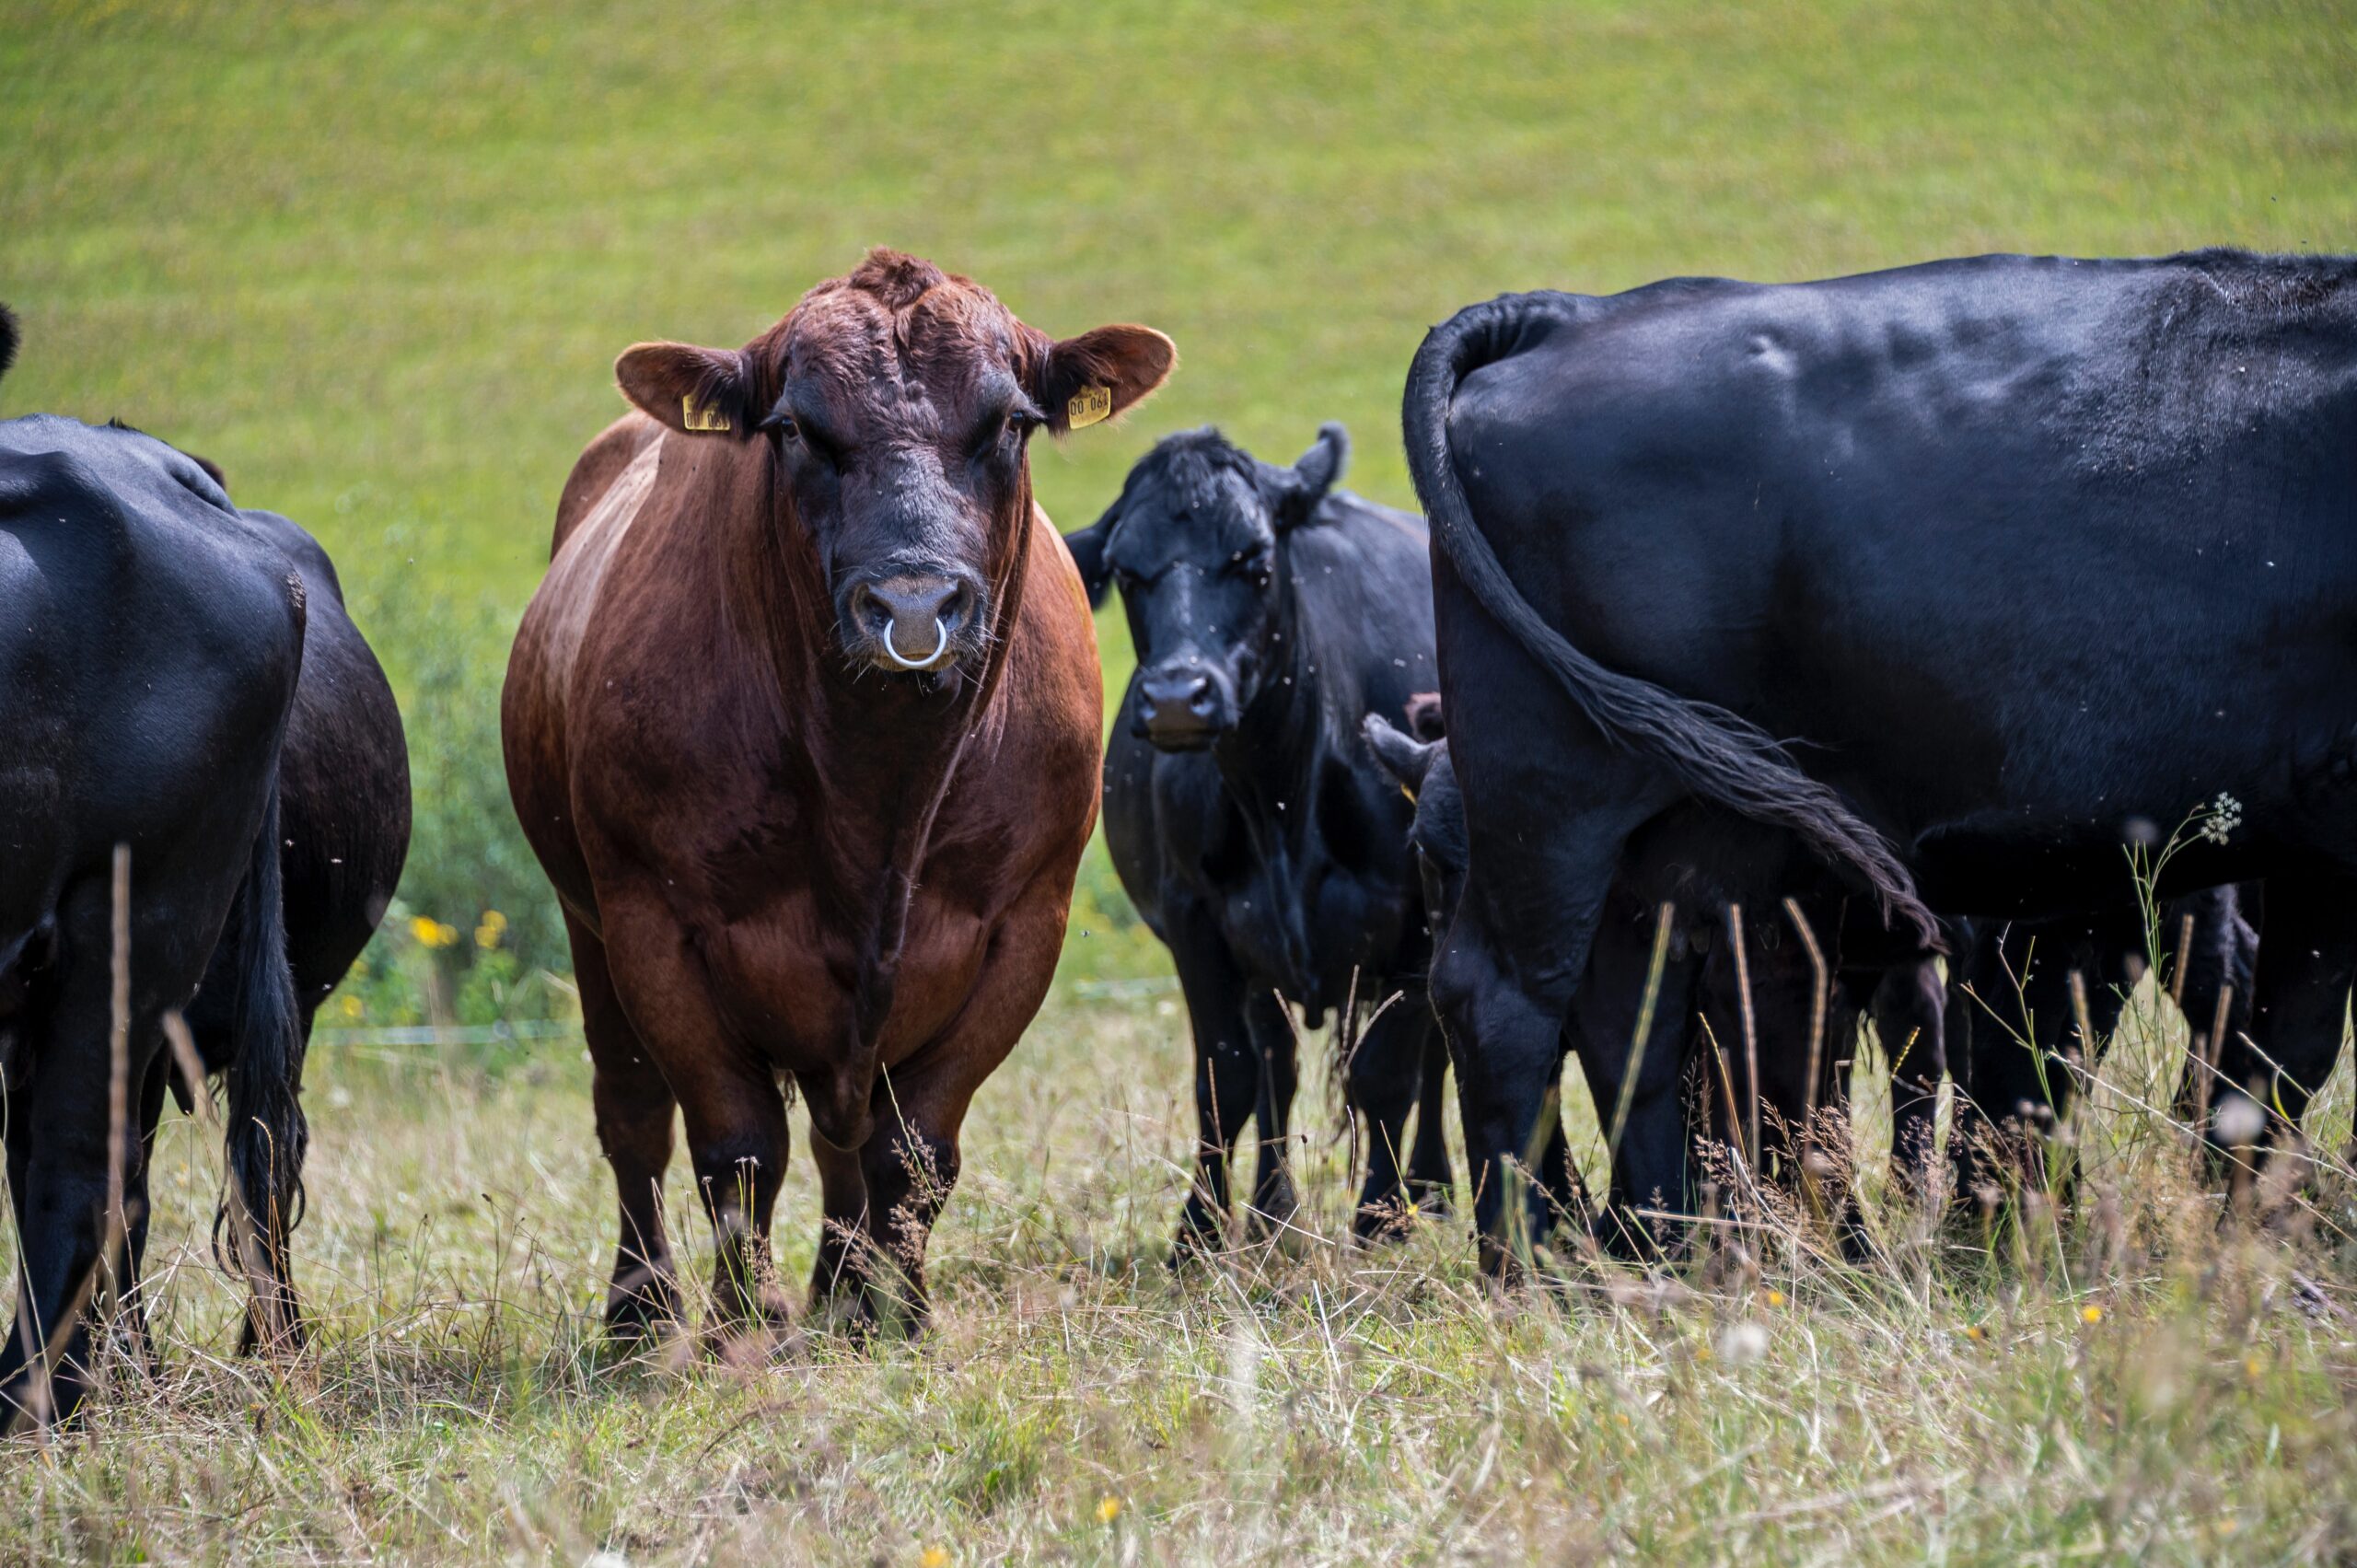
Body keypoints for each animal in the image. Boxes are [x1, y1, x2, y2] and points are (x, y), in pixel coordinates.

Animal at [504, 250, 1168, 1330]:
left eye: (1010, 423)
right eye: (795, 430)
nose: (913, 603)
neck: (879, 788)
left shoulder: (1024, 923)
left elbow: (914, 1149)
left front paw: (901, 1312)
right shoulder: (655, 925)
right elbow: (734, 1149)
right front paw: (742, 1322)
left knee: (840, 1136)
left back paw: (843, 1291)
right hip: (586, 921)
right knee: (634, 1116)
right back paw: (643, 1308)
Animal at [1070, 424, 1451, 1245]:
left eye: (1256, 561)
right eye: (1127, 572)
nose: (1177, 696)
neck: (1279, 792)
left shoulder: (1418, 916)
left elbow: (1388, 1074)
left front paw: (1379, 1218)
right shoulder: (1196, 920)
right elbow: (1229, 1074)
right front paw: (1200, 1231)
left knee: (1436, 1056)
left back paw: (1431, 1191)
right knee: (1278, 1063)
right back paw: (1275, 1212)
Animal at [1395, 250, 2357, 1263]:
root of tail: (1568, 313)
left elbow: (2276, 1046)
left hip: (1666, 837)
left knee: (1634, 1015)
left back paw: (1663, 1249)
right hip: (1553, 795)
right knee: (1505, 1001)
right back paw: (1541, 1265)